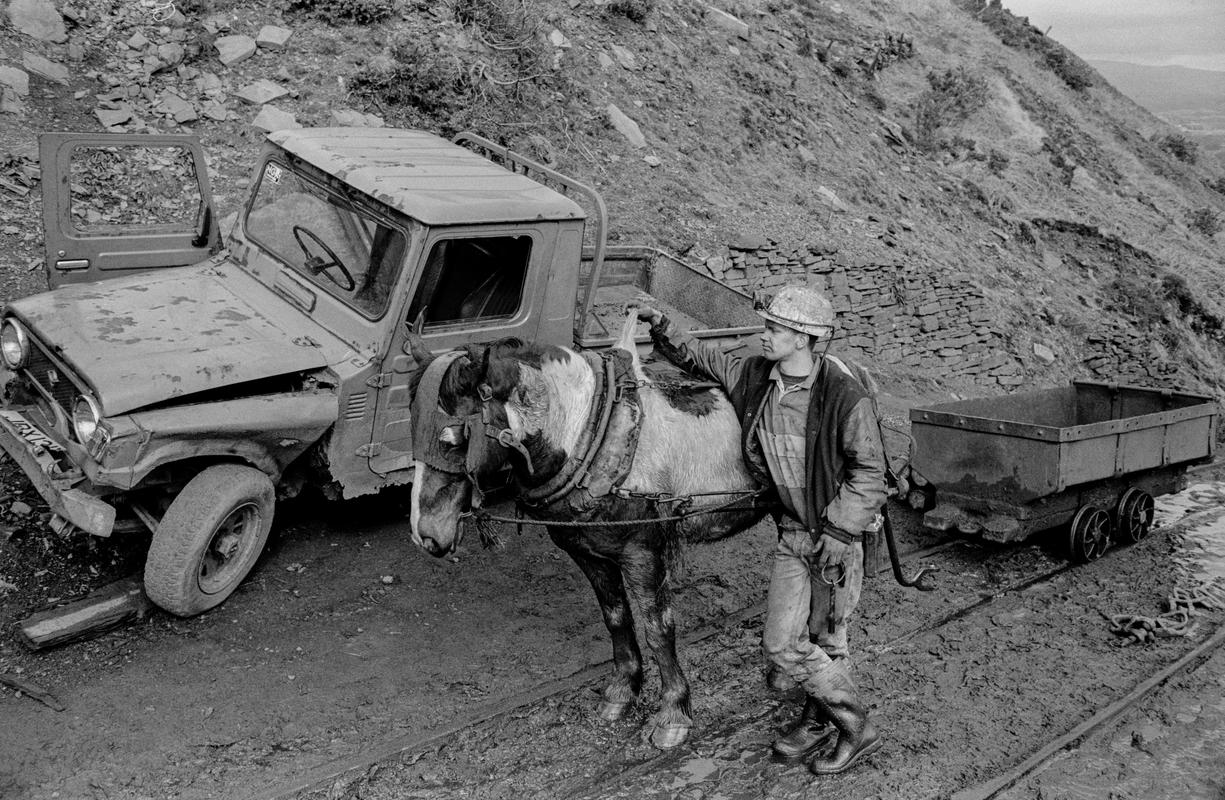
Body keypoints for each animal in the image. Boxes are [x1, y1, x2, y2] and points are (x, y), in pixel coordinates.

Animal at [411, 308, 764, 744]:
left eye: (454, 438)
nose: (425, 534)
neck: (591, 433)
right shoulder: (589, 554)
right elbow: (616, 618)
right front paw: (622, 692)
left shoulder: (644, 553)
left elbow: (657, 627)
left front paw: (673, 713)